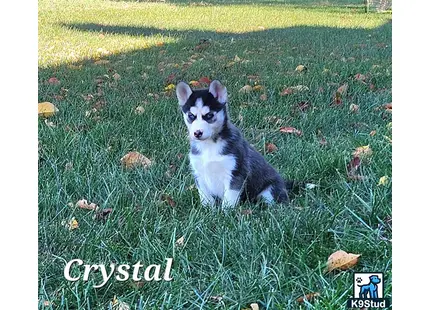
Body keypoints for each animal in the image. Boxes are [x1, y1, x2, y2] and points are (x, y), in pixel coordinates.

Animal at [176, 80, 292, 211]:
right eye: (191, 116)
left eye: (209, 115)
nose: (197, 133)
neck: (209, 146)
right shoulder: (199, 173)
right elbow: (205, 195)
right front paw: (208, 209)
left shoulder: (235, 173)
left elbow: (229, 198)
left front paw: (226, 212)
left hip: (269, 191)